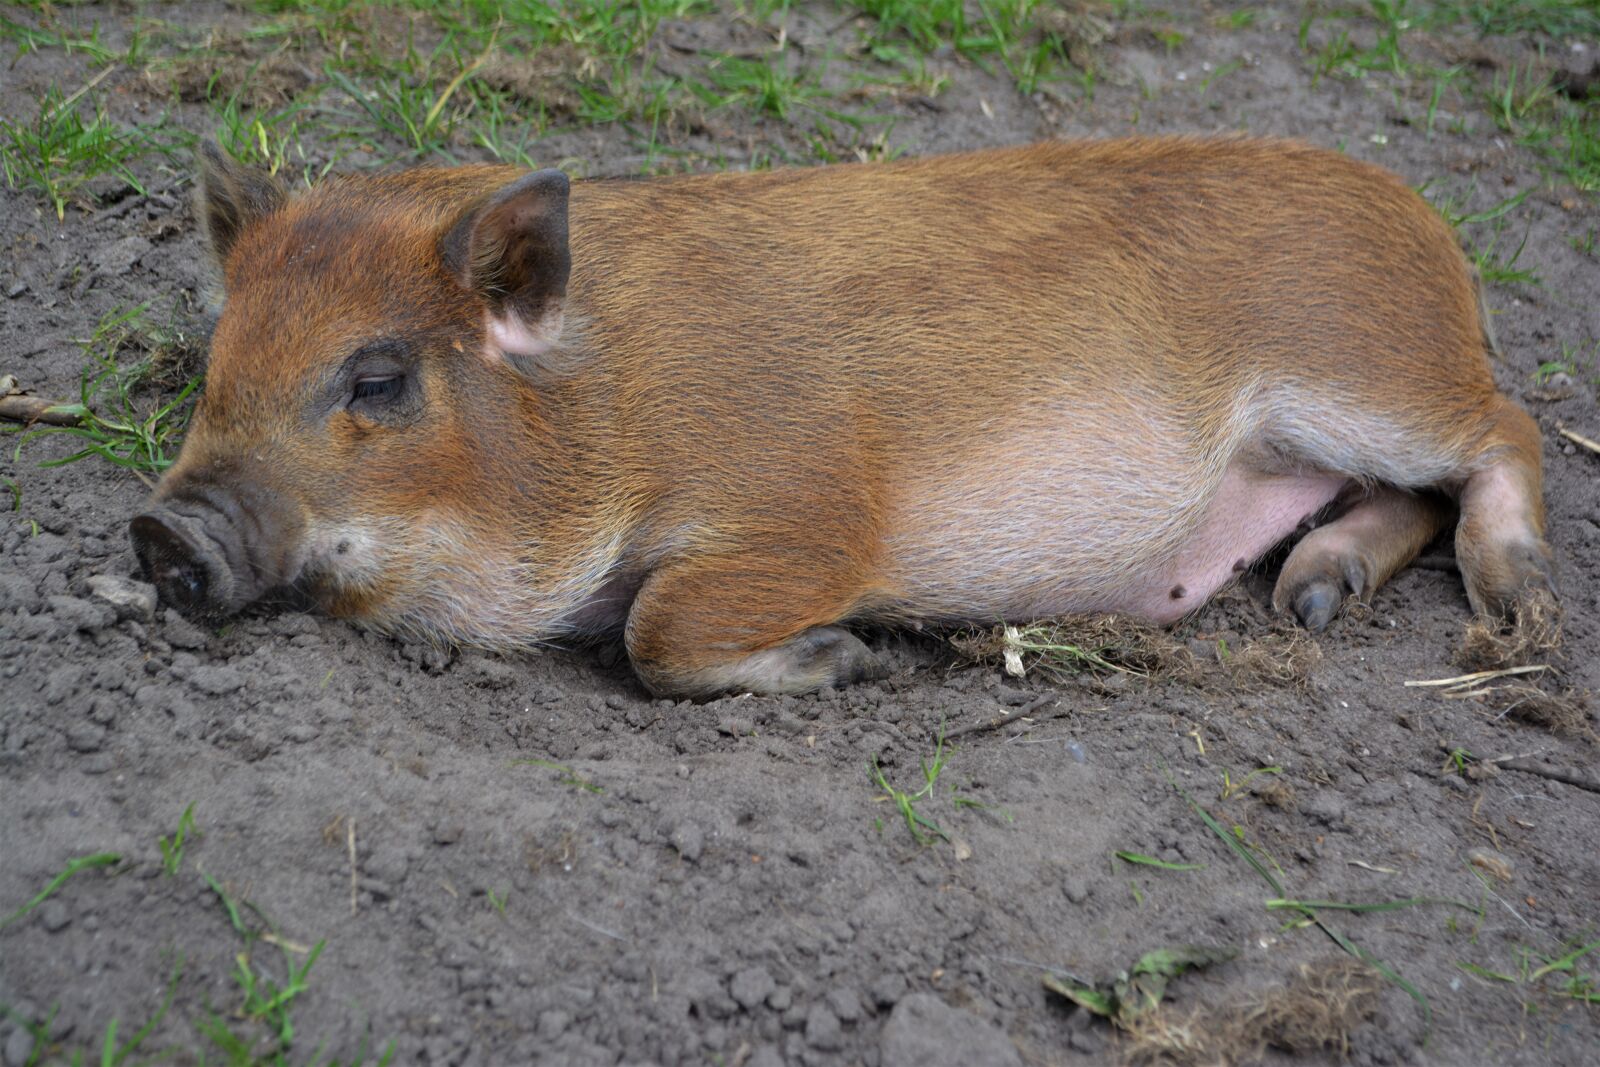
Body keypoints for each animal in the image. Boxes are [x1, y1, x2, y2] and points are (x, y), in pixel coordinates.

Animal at [130, 137, 1556, 697]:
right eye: (220, 356)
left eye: (377, 380)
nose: (162, 533)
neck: (608, 410)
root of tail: (1431, 228)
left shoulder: (814, 513)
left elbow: (658, 623)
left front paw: (848, 660)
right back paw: (1310, 598)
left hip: (1373, 379)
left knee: (1510, 426)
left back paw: (1512, 600)